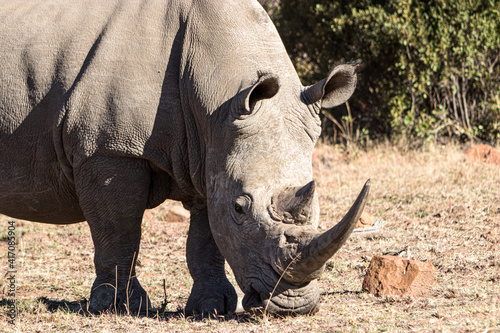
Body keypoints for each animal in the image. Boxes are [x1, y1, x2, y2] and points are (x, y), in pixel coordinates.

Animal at [0, 0, 368, 314]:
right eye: (240, 208)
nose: (293, 305)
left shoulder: (212, 152)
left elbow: (206, 240)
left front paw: (212, 308)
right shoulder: (108, 148)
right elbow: (119, 231)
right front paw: (119, 307)